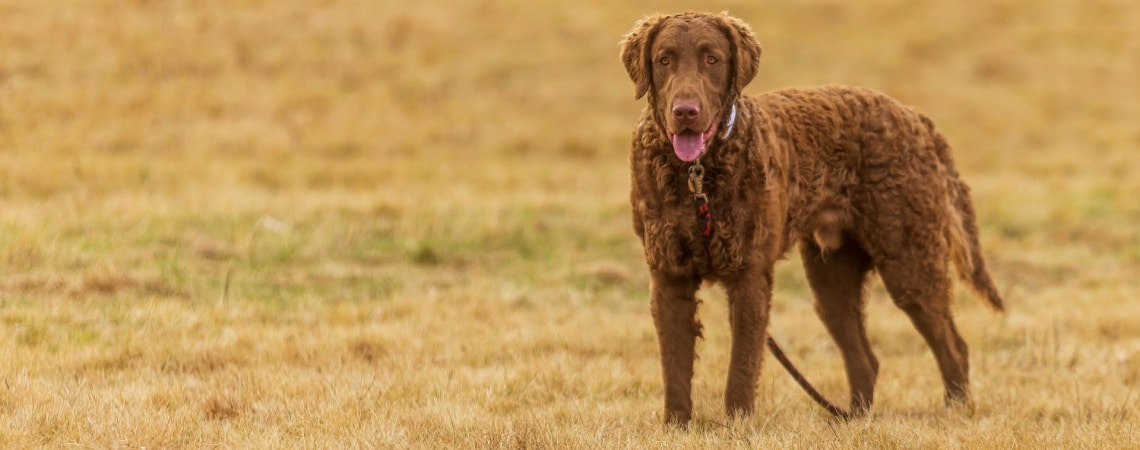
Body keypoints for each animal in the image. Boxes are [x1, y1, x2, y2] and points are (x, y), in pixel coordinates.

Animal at [620, 11, 1003, 426]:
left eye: (712, 59)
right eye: (664, 59)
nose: (685, 112)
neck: (698, 177)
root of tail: (915, 118)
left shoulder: (749, 274)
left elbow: (741, 365)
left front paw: (737, 426)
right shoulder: (668, 275)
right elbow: (674, 365)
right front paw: (676, 426)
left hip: (910, 261)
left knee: (953, 345)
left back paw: (954, 410)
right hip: (831, 278)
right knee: (866, 359)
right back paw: (854, 420)